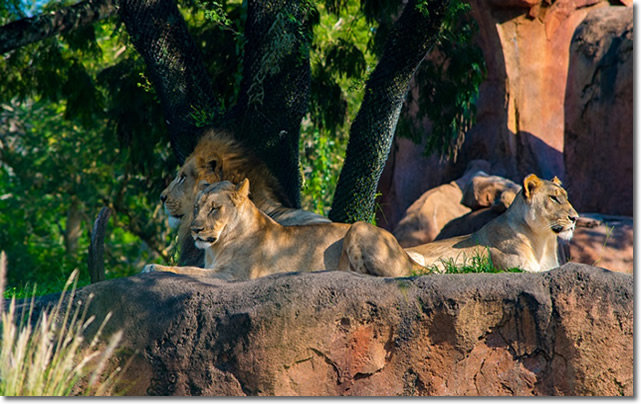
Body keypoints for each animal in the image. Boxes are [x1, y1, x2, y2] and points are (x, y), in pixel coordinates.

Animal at [144, 179, 404, 279]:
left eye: (215, 208)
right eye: (197, 207)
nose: (195, 230)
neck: (217, 246)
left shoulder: (233, 275)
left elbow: (186, 270)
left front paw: (152, 267)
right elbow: (190, 268)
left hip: (359, 228)